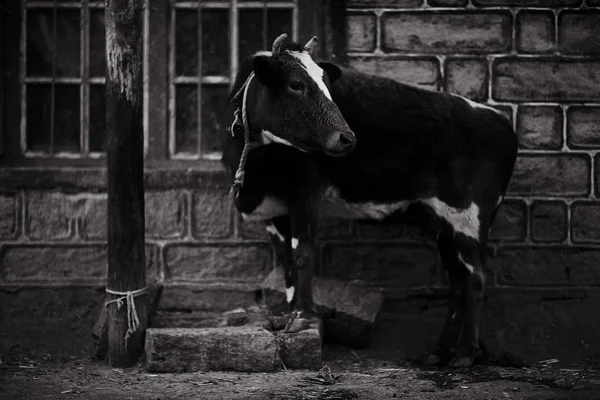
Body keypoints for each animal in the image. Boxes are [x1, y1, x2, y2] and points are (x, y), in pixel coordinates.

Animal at [221, 34, 520, 368]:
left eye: (326, 83)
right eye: (295, 84)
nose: (347, 138)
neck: (258, 168)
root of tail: (501, 119)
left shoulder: (305, 197)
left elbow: (303, 256)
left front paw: (302, 317)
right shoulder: (274, 211)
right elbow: (285, 262)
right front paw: (287, 314)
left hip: (470, 217)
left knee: (476, 279)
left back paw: (465, 355)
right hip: (443, 224)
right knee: (457, 281)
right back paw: (440, 352)